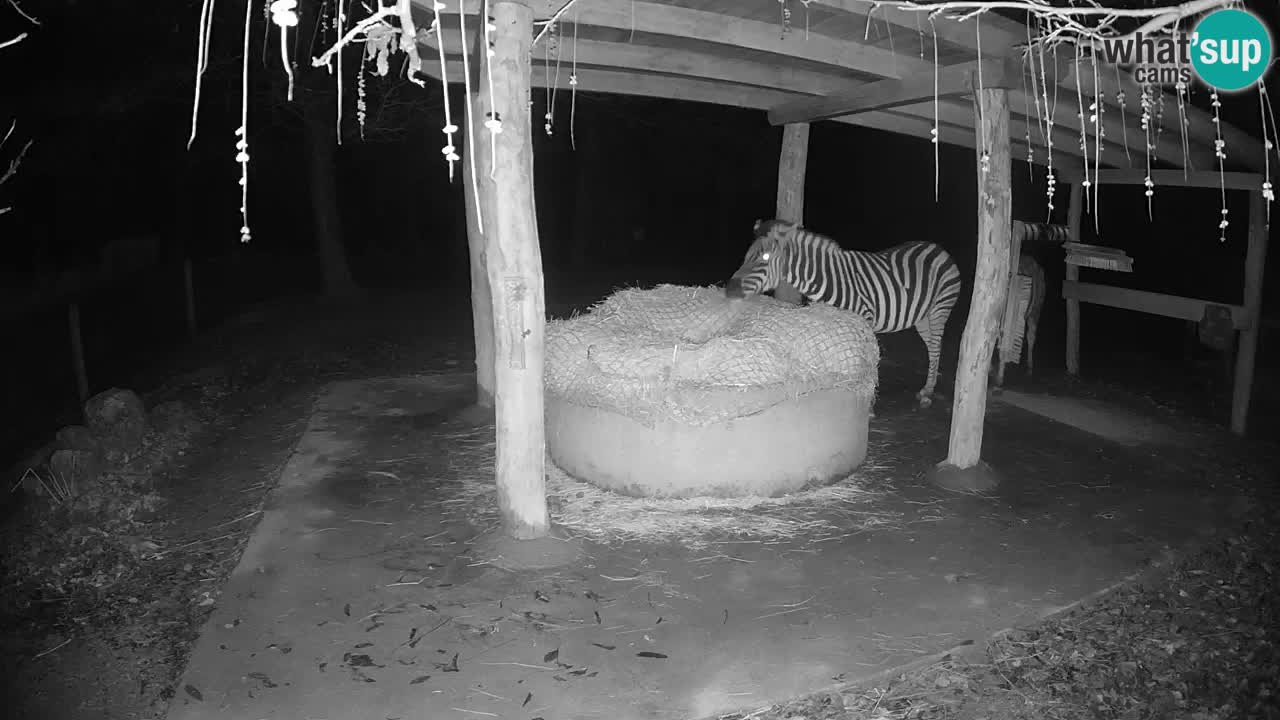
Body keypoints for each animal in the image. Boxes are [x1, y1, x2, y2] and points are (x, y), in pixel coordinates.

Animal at [727, 215, 962, 407]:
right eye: (746, 256)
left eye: (765, 258)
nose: (729, 291)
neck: (828, 280)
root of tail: (936, 246)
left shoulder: (863, 320)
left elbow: (862, 363)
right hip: (922, 317)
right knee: (931, 346)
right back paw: (927, 387)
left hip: (940, 308)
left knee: (936, 346)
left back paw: (928, 393)